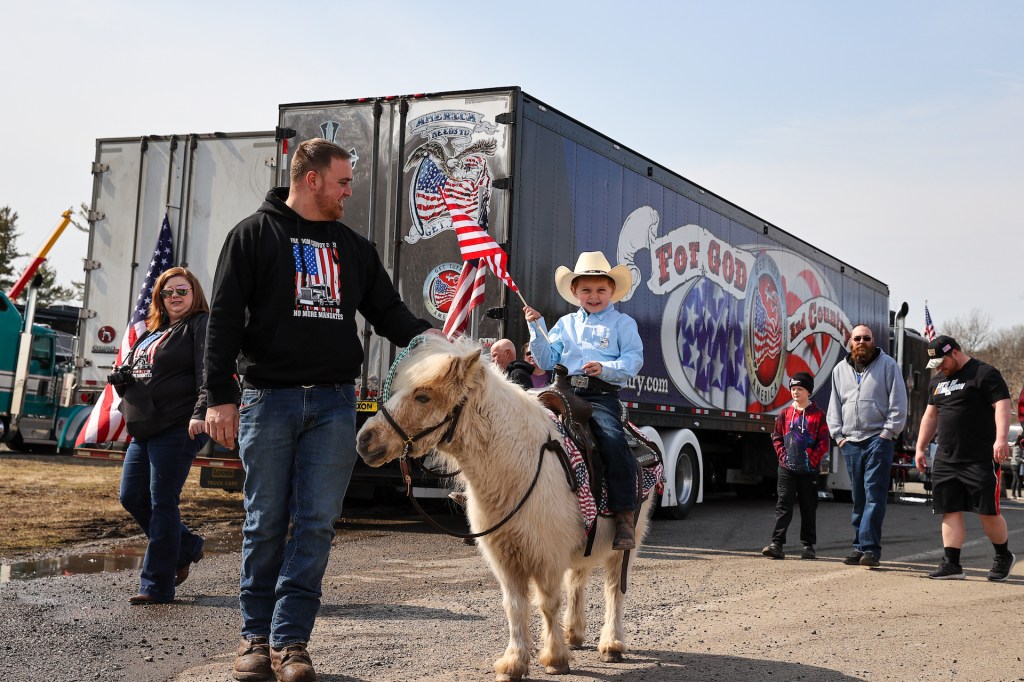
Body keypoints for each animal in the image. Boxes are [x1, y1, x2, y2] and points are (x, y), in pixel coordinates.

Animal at [356, 335, 651, 679]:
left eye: (423, 396)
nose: (364, 439)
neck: (518, 465)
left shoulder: (546, 556)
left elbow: (547, 603)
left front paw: (554, 658)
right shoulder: (504, 557)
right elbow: (515, 605)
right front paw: (514, 662)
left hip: (626, 543)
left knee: (614, 589)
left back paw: (612, 644)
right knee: (578, 580)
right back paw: (574, 634)